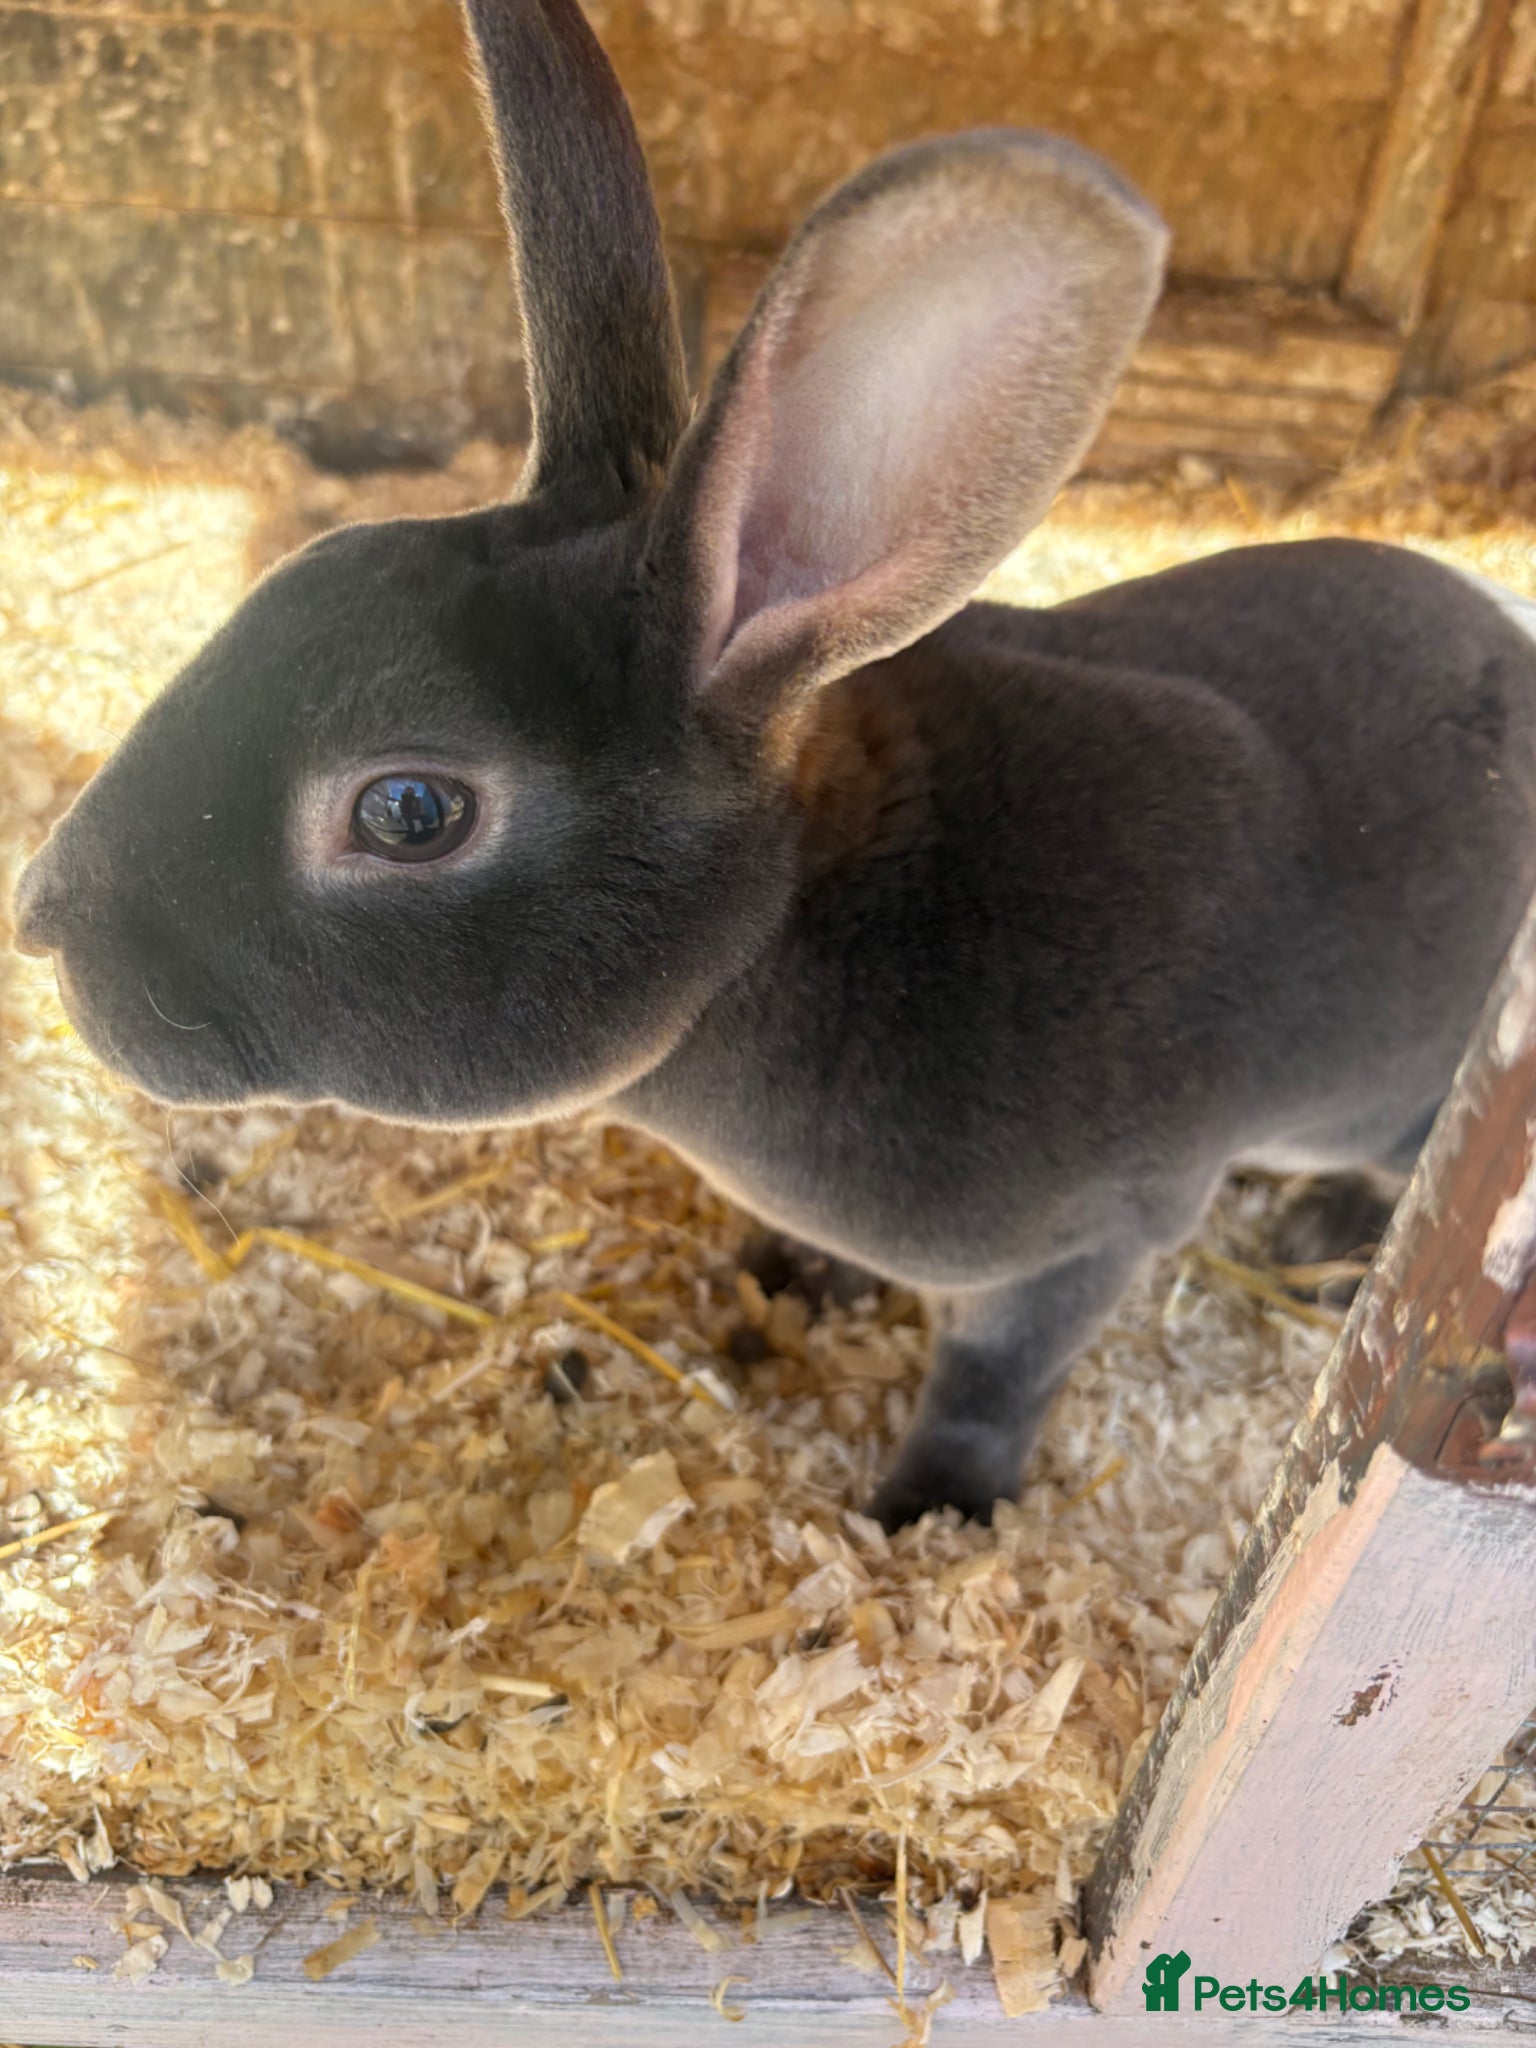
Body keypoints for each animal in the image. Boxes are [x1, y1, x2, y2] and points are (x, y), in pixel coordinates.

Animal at [14, 0, 1536, 1531]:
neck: (785, 932)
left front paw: (929, 1506)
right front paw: (788, 1277)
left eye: (408, 811)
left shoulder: (1084, 1245)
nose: (43, 920)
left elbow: (994, 1383)